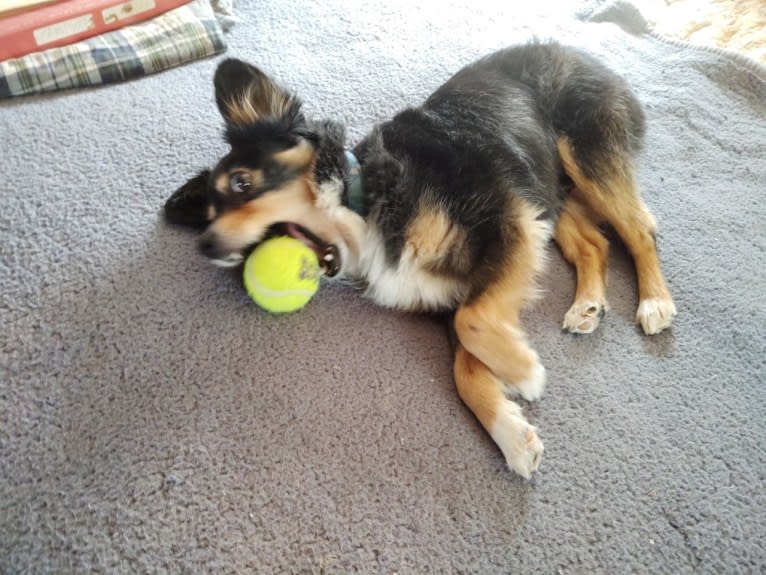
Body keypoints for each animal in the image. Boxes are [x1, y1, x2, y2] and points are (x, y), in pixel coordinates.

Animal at [164, 40, 680, 480]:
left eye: (241, 182)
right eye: (209, 212)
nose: (205, 245)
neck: (365, 200)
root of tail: (583, 53)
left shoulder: (507, 220)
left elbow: (475, 323)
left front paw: (525, 374)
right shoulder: (463, 284)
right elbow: (466, 369)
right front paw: (513, 434)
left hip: (581, 153)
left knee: (639, 230)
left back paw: (654, 303)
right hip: (551, 191)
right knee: (593, 243)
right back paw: (587, 305)